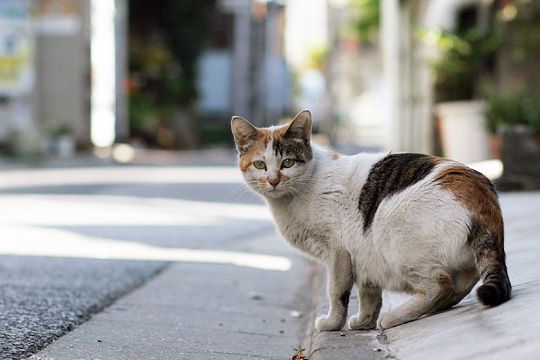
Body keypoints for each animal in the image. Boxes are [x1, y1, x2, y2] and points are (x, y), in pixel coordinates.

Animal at [231, 110, 510, 332]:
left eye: (287, 163)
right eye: (260, 164)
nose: (273, 180)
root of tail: (484, 197)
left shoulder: (338, 252)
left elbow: (336, 292)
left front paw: (332, 324)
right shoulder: (362, 253)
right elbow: (369, 294)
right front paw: (363, 322)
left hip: (393, 231)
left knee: (440, 285)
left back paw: (393, 319)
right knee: (456, 288)